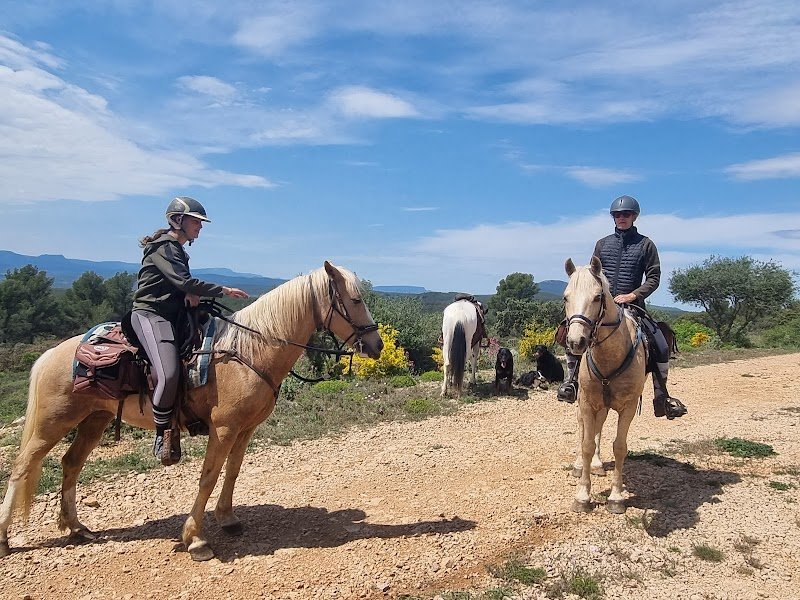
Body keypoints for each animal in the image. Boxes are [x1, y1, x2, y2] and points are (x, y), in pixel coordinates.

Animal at [0, 261, 383, 561]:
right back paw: (6, 540)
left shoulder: (246, 429)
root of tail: (50, 355)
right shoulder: (224, 428)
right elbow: (208, 476)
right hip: (53, 422)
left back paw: (76, 528)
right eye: (355, 299)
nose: (376, 345)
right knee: (21, 469)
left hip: (95, 419)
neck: (248, 351)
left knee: (71, 464)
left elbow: (232, 472)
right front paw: (196, 539)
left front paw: (227, 519)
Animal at [563, 257, 646, 514]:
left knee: (599, 427)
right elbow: (587, 444)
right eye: (566, 297)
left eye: (598, 297)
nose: (575, 342)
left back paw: (598, 465)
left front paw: (616, 497)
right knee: (585, 430)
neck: (609, 356)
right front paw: (582, 496)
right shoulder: (587, 403)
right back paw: (580, 465)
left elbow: (619, 446)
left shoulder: (627, 407)